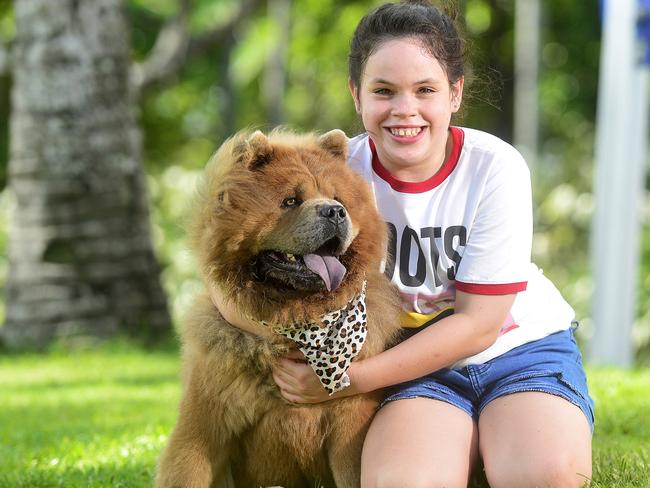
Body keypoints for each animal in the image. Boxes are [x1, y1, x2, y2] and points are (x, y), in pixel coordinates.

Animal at [156, 130, 400, 488]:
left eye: (337, 197)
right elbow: (188, 472)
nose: (335, 211)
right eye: (290, 201)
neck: (293, 320)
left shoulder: (350, 428)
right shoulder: (201, 429)